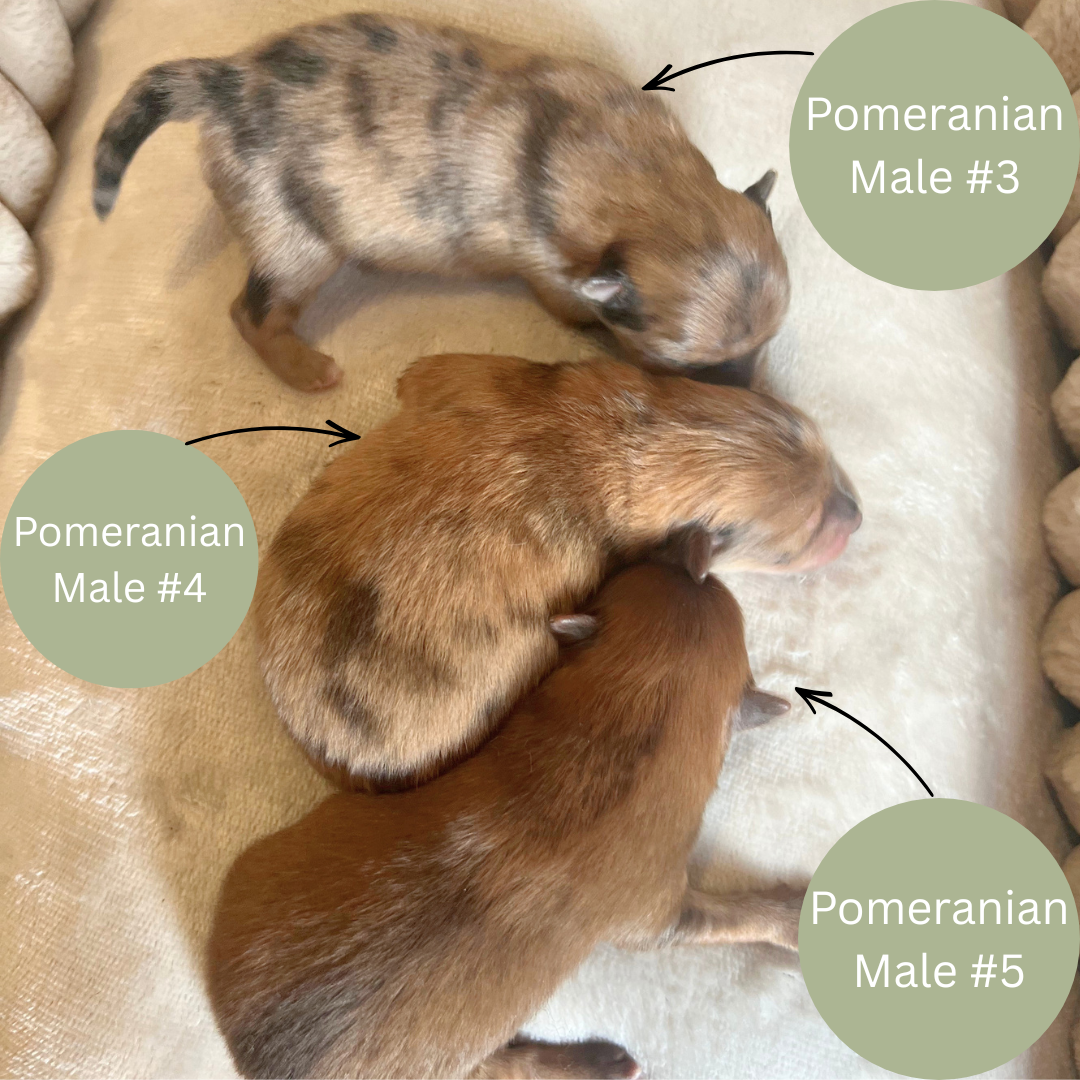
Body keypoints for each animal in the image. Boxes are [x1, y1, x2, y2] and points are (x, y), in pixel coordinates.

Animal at [93, 13, 787, 390]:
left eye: (767, 342)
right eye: (675, 361)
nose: (744, 394)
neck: (642, 178)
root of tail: (225, 81)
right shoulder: (548, 271)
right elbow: (569, 305)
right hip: (294, 235)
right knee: (251, 312)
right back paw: (306, 368)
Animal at [209, 532, 802, 1080]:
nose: (696, 537)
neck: (634, 728)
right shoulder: (656, 910)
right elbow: (728, 915)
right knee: (511, 1065)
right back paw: (599, 1063)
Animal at [255, 353, 860, 790]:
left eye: (830, 455)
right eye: (796, 543)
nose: (857, 515)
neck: (650, 442)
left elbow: (443, 370)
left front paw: (408, 375)